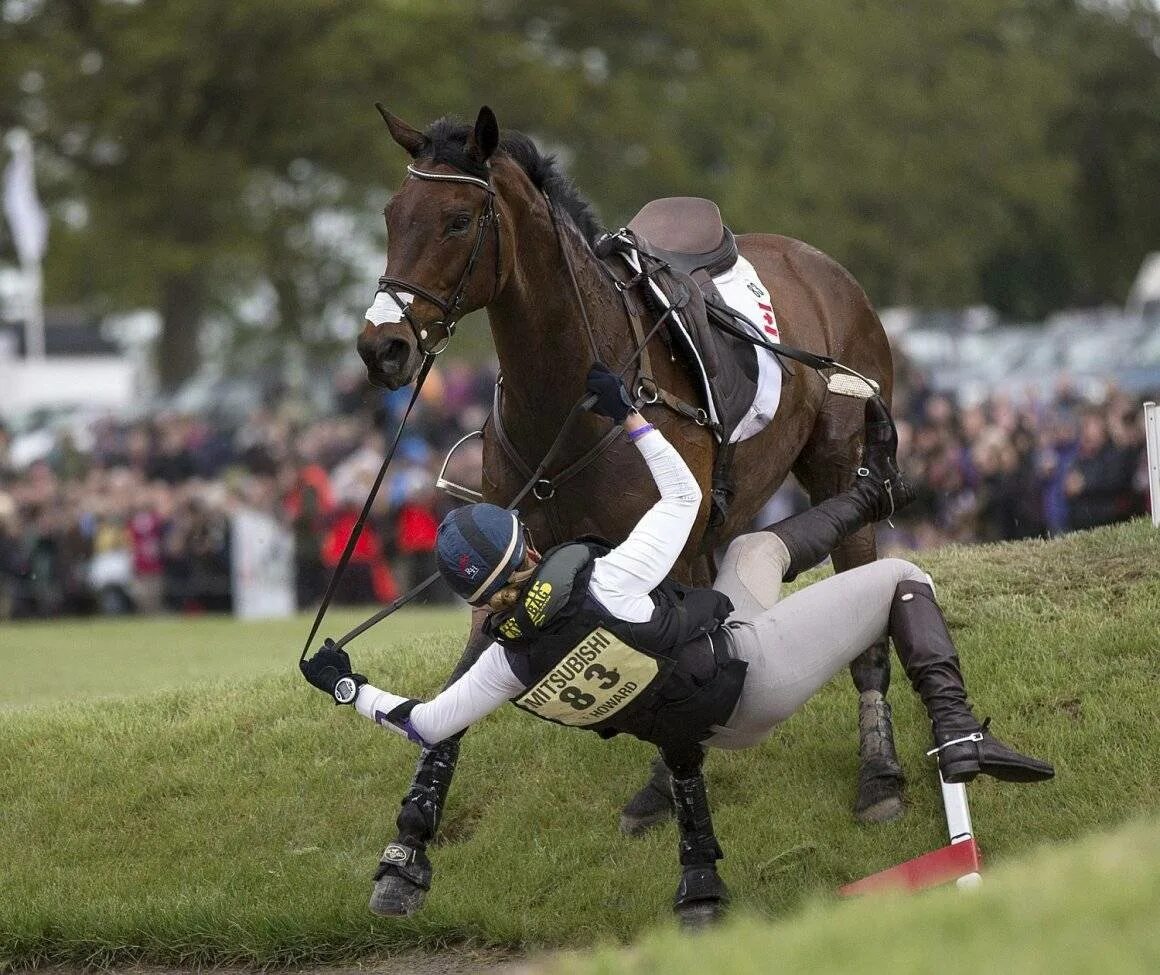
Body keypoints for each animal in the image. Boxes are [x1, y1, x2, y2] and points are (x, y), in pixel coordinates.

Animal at [357, 104, 900, 913]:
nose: (382, 347)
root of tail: (825, 268)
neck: (566, 403)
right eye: (394, 215)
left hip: (834, 468)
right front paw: (406, 852)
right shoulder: (513, 570)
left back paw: (879, 773)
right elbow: (453, 702)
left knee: (859, 621)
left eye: (457, 221)